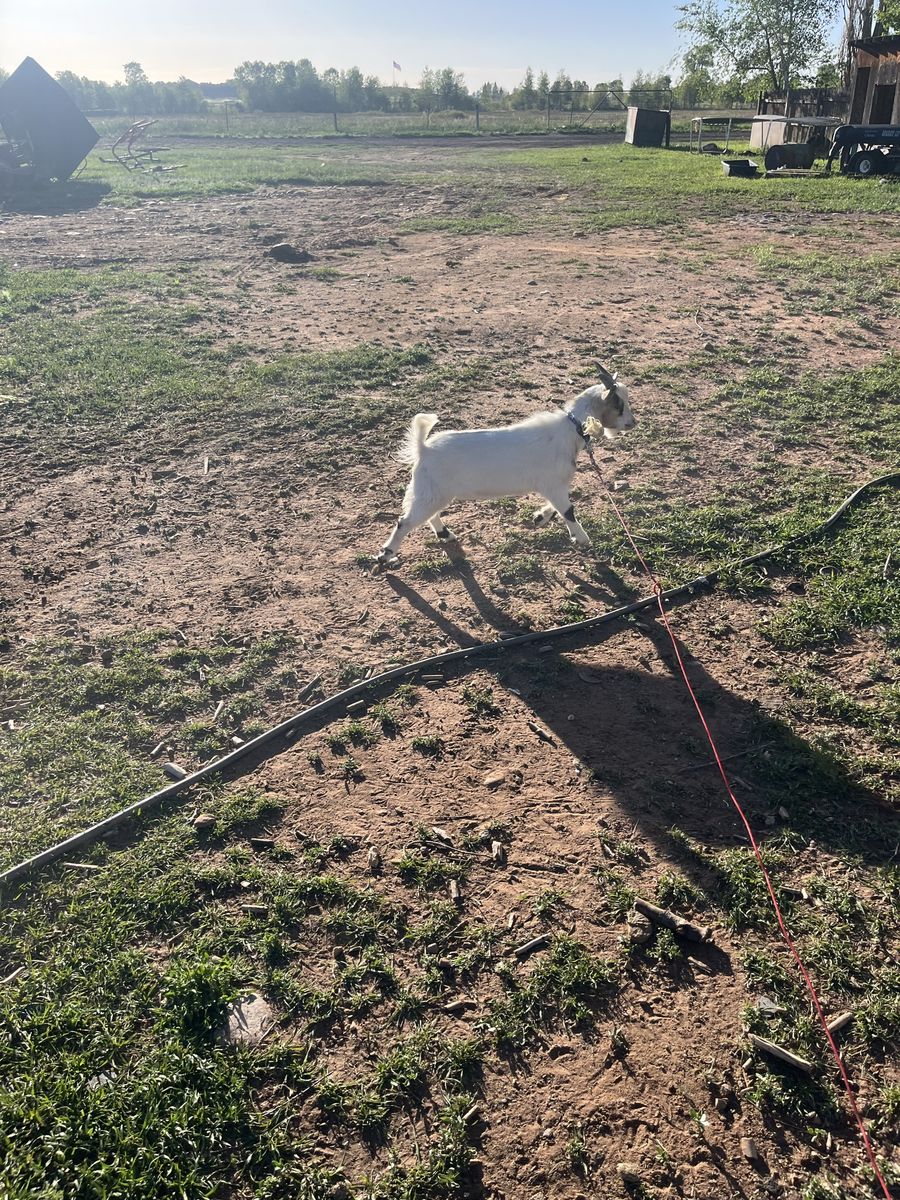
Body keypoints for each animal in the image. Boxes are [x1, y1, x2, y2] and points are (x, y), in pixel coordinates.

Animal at [376, 365, 635, 564]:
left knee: (429, 515)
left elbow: (557, 507)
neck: (571, 429)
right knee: (405, 521)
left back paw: (445, 534)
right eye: (619, 405)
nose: (633, 423)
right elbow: (568, 510)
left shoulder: (553, 485)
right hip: (431, 491)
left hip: (434, 492)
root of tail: (423, 448)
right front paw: (582, 538)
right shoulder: (553, 483)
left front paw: (539, 517)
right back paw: (385, 555)